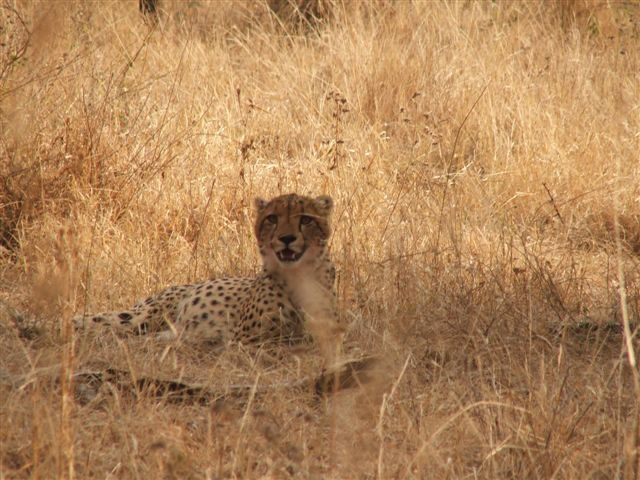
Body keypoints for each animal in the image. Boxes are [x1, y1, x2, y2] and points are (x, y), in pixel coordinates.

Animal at [73, 191, 342, 352]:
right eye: (272, 218)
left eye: (306, 219)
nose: (287, 239)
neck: (297, 275)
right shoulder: (244, 340)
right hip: (141, 317)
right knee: (98, 321)